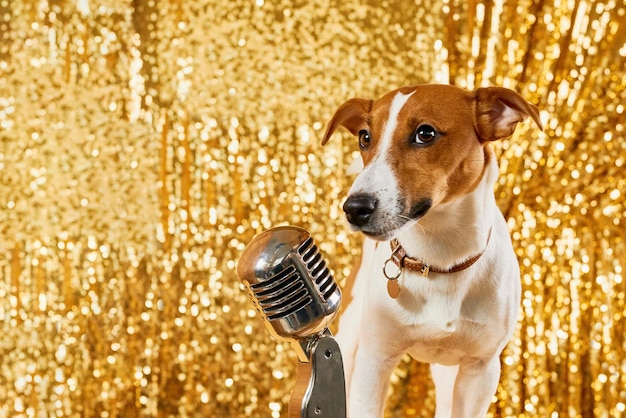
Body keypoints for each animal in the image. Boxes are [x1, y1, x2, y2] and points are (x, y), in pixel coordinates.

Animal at [320, 83, 540, 416]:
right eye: (365, 137)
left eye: (425, 133)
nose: (354, 208)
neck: (438, 258)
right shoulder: (375, 360)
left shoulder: (481, 369)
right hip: (349, 336)